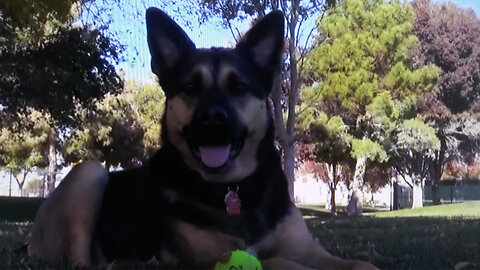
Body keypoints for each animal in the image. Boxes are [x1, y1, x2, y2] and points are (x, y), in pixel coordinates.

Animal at [28, 7, 376, 268]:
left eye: (239, 87)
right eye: (190, 88)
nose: (213, 119)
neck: (233, 189)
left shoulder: (306, 248)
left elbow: (359, 263)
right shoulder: (208, 259)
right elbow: (279, 262)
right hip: (89, 173)